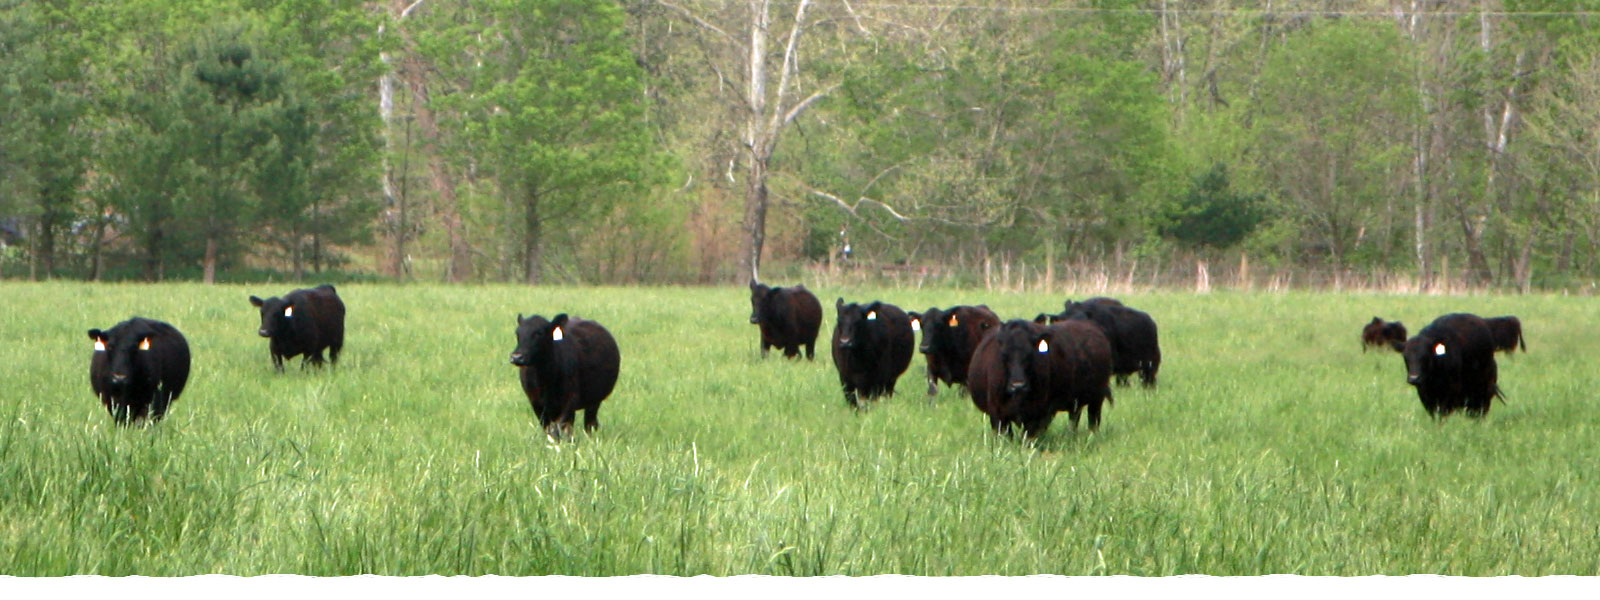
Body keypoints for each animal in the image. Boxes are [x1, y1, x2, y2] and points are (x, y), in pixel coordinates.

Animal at [967, 319, 1114, 438]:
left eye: (1030, 354)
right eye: (1004, 355)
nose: (1018, 385)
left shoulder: (1038, 413)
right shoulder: (998, 414)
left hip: (1097, 398)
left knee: (1093, 421)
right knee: (1075, 419)